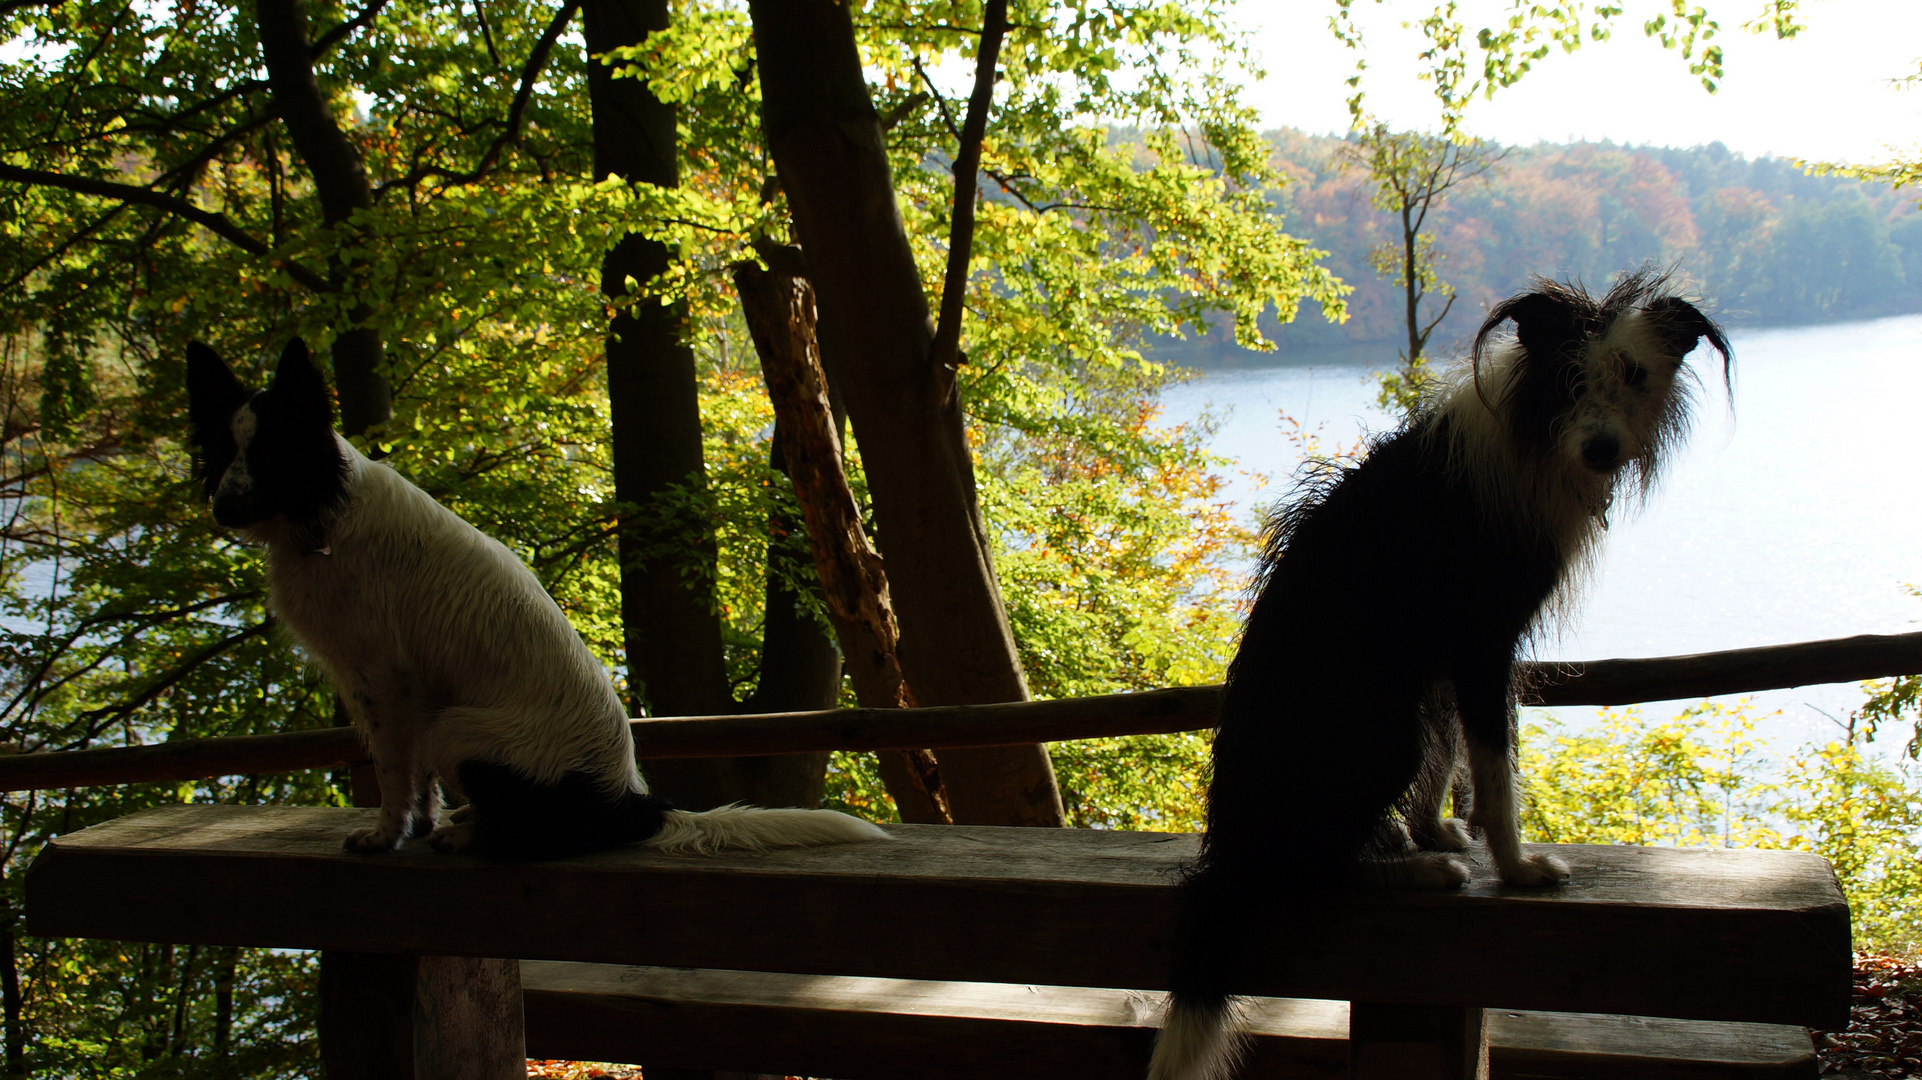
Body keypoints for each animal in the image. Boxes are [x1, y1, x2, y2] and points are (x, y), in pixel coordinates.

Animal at [183, 336, 887, 857]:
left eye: (272, 451)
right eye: (222, 449)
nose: (223, 508)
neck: (325, 513)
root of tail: (630, 804)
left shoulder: (384, 680)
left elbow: (392, 773)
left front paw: (386, 836)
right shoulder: (396, 685)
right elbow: (413, 782)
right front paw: (414, 826)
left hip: (456, 728)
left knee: (529, 833)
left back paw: (471, 835)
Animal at [1145, 269, 1737, 1076]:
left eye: (1635, 375)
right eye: (1568, 377)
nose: (1602, 450)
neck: (1530, 433)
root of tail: (1232, 847)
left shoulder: (1446, 669)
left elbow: (1450, 753)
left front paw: (1434, 829)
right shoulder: (1483, 646)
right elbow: (1493, 769)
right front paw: (1514, 867)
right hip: (1379, 737)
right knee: (1309, 871)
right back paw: (1410, 872)